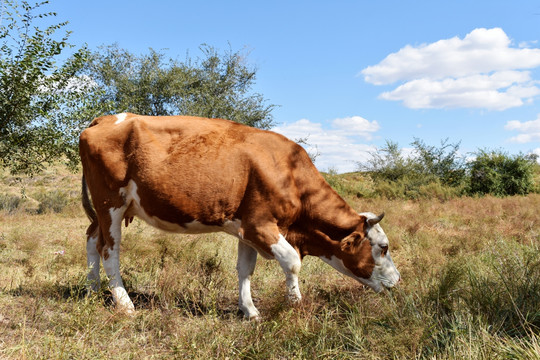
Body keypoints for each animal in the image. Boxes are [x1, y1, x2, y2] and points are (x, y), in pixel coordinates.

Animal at [80, 112, 400, 318]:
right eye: (383, 248)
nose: (397, 280)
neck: (288, 169)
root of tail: (105, 119)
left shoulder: (247, 229)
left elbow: (245, 269)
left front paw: (249, 310)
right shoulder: (261, 225)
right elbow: (292, 262)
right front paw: (294, 303)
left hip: (105, 210)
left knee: (92, 240)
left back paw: (92, 290)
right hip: (111, 203)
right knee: (109, 250)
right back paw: (125, 304)